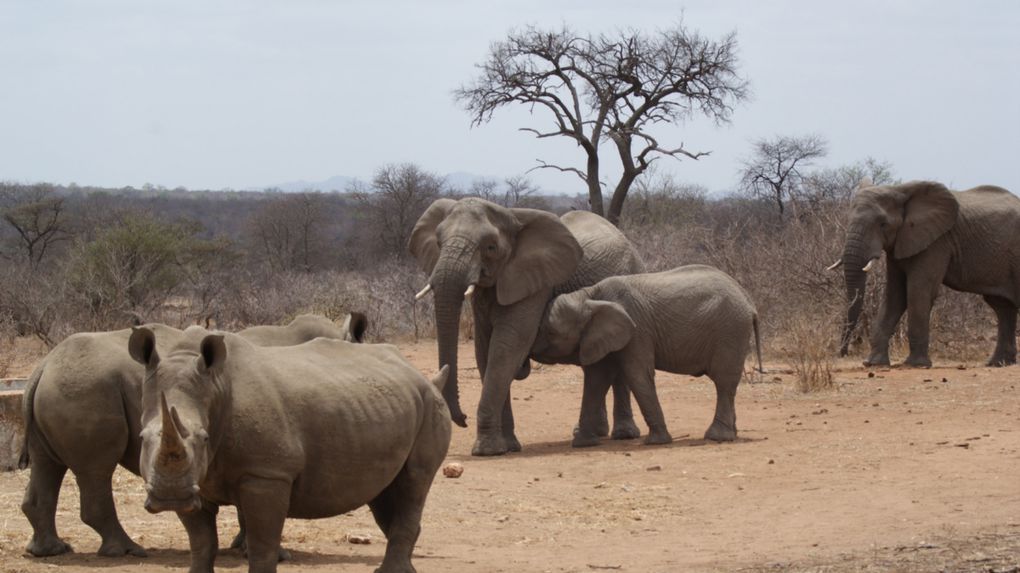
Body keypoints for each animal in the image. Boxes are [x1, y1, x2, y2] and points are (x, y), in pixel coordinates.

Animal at [17, 309, 367, 554]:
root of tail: (43, 365)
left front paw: (242, 545)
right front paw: (264, 551)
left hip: (64, 388)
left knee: (48, 463)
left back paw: (51, 551)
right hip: (87, 388)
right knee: (95, 470)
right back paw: (129, 551)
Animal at [126, 326, 446, 570]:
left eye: (204, 438)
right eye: (142, 437)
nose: (169, 497)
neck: (216, 387)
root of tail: (420, 374)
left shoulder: (267, 473)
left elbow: (262, 546)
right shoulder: (197, 482)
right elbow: (202, 544)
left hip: (431, 404)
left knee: (415, 481)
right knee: (384, 491)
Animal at [408, 197, 640, 454]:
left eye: (490, 247)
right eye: (439, 242)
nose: (463, 418)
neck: (511, 217)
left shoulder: (535, 282)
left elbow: (506, 348)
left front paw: (487, 451)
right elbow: (485, 352)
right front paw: (508, 446)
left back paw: (623, 434)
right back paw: (593, 432)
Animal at [530, 263, 762, 446]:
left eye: (550, 332)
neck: (588, 296)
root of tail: (749, 302)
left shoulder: (637, 329)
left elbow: (637, 374)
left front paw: (656, 442)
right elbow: (597, 378)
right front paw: (582, 443)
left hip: (730, 331)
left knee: (723, 382)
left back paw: (717, 437)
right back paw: (731, 434)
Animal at [832, 179, 1020, 365]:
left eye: (883, 224)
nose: (844, 353)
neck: (899, 190)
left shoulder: (936, 242)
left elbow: (918, 292)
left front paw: (916, 364)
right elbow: (895, 296)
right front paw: (873, 363)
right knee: (1002, 307)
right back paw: (998, 363)